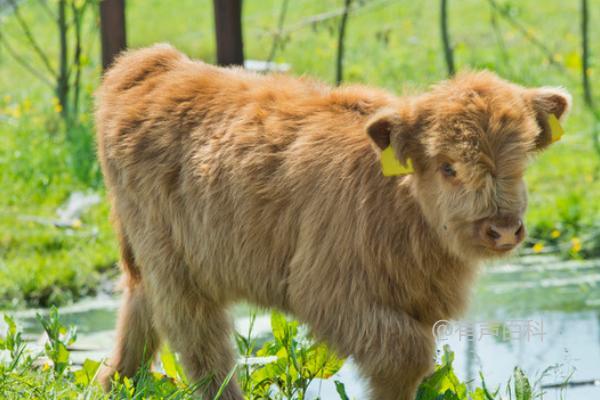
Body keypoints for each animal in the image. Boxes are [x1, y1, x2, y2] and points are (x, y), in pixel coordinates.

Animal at [95, 44, 572, 400]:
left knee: (139, 308)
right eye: (448, 167)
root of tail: (152, 63)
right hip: (177, 272)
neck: (401, 209)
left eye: (521, 162)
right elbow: (407, 355)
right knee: (202, 349)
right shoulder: (326, 291)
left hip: (153, 260)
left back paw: (113, 383)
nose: (503, 229)